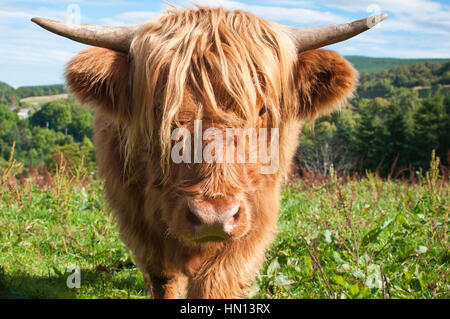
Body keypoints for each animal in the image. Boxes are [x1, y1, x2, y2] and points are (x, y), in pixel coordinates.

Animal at [33, 5, 386, 300]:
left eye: (262, 109)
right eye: (158, 108)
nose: (213, 218)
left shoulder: (255, 218)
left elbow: (216, 283)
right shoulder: (138, 220)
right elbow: (163, 279)